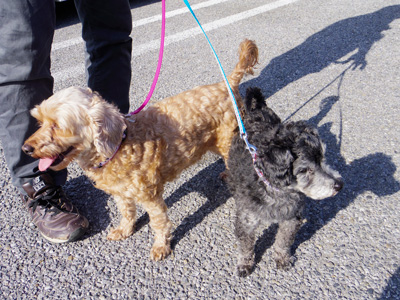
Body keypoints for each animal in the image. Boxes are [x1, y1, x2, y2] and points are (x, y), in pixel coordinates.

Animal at [227, 87, 342, 276]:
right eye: (304, 170)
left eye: (322, 159)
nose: (339, 185)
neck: (276, 188)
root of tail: (257, 110)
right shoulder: (246, 221)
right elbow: (246, 247)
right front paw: (245, 263)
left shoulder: (291, 218)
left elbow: (283, 241)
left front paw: (282, 258)